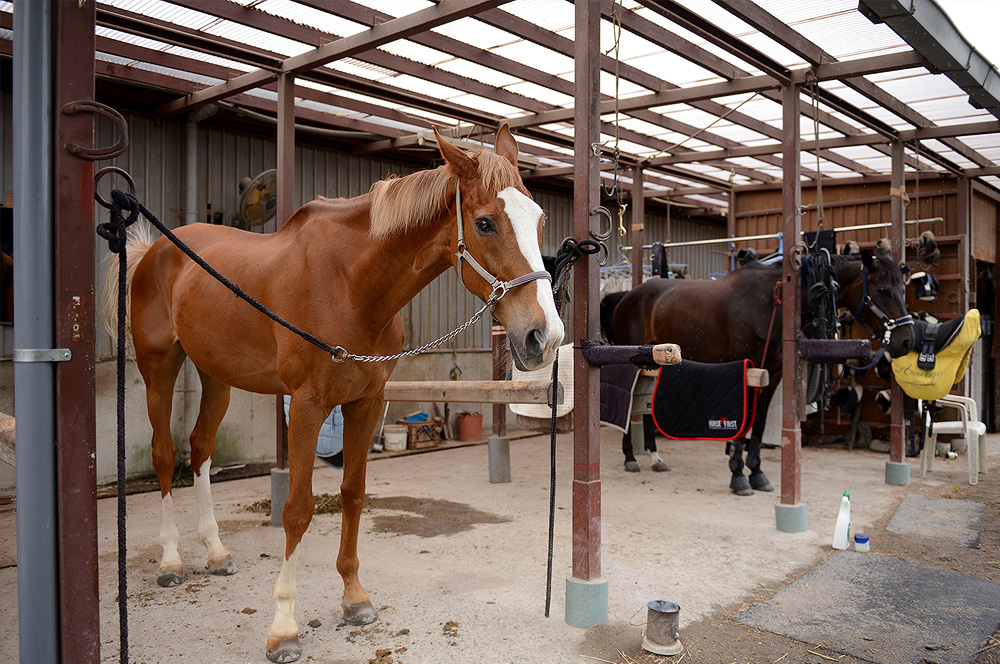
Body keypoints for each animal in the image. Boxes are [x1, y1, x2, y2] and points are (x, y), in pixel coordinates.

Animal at [103, 123, 564, 660]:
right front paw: (283, 626)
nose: (545, 337)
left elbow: (353, 494)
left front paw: (354, 598)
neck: (350, 285)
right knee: (163, 454)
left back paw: (216, 552)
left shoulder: (367, 403)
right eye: (486, 223)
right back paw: (172, 561)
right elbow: (298, 509)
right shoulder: (306, 406)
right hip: (159, 367)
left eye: (540, 219)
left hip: (216, 375)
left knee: (199, 450)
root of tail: (154, 251)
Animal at [608, 252, 916, 496]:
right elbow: (743, 426)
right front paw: (738, 477)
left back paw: (655, 458)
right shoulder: (747, 370)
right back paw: (630, 457)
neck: (772, 302)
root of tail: (625, 297)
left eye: (903, 289)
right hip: (633, 367)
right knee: (630, 405)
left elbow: (758, 424)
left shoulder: (772, 374)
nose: (907, 341)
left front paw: (757, 474)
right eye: (884, 289)